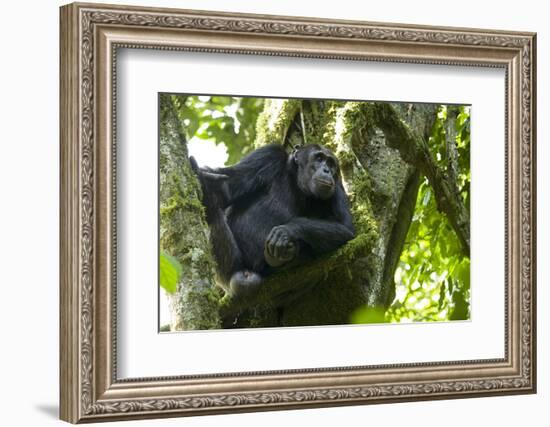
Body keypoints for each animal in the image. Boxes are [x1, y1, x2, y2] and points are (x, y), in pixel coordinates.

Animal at [192, 144, 358, 298]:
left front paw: (286, 231)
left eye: (331, 163)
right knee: (213, 212)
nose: (326, 170)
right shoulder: (267, 155)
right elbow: (226, 189)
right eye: (318, 158)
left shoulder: (337, 186)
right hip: (228, 271)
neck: (297, 183)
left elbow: (346, 228)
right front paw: (203, 180)